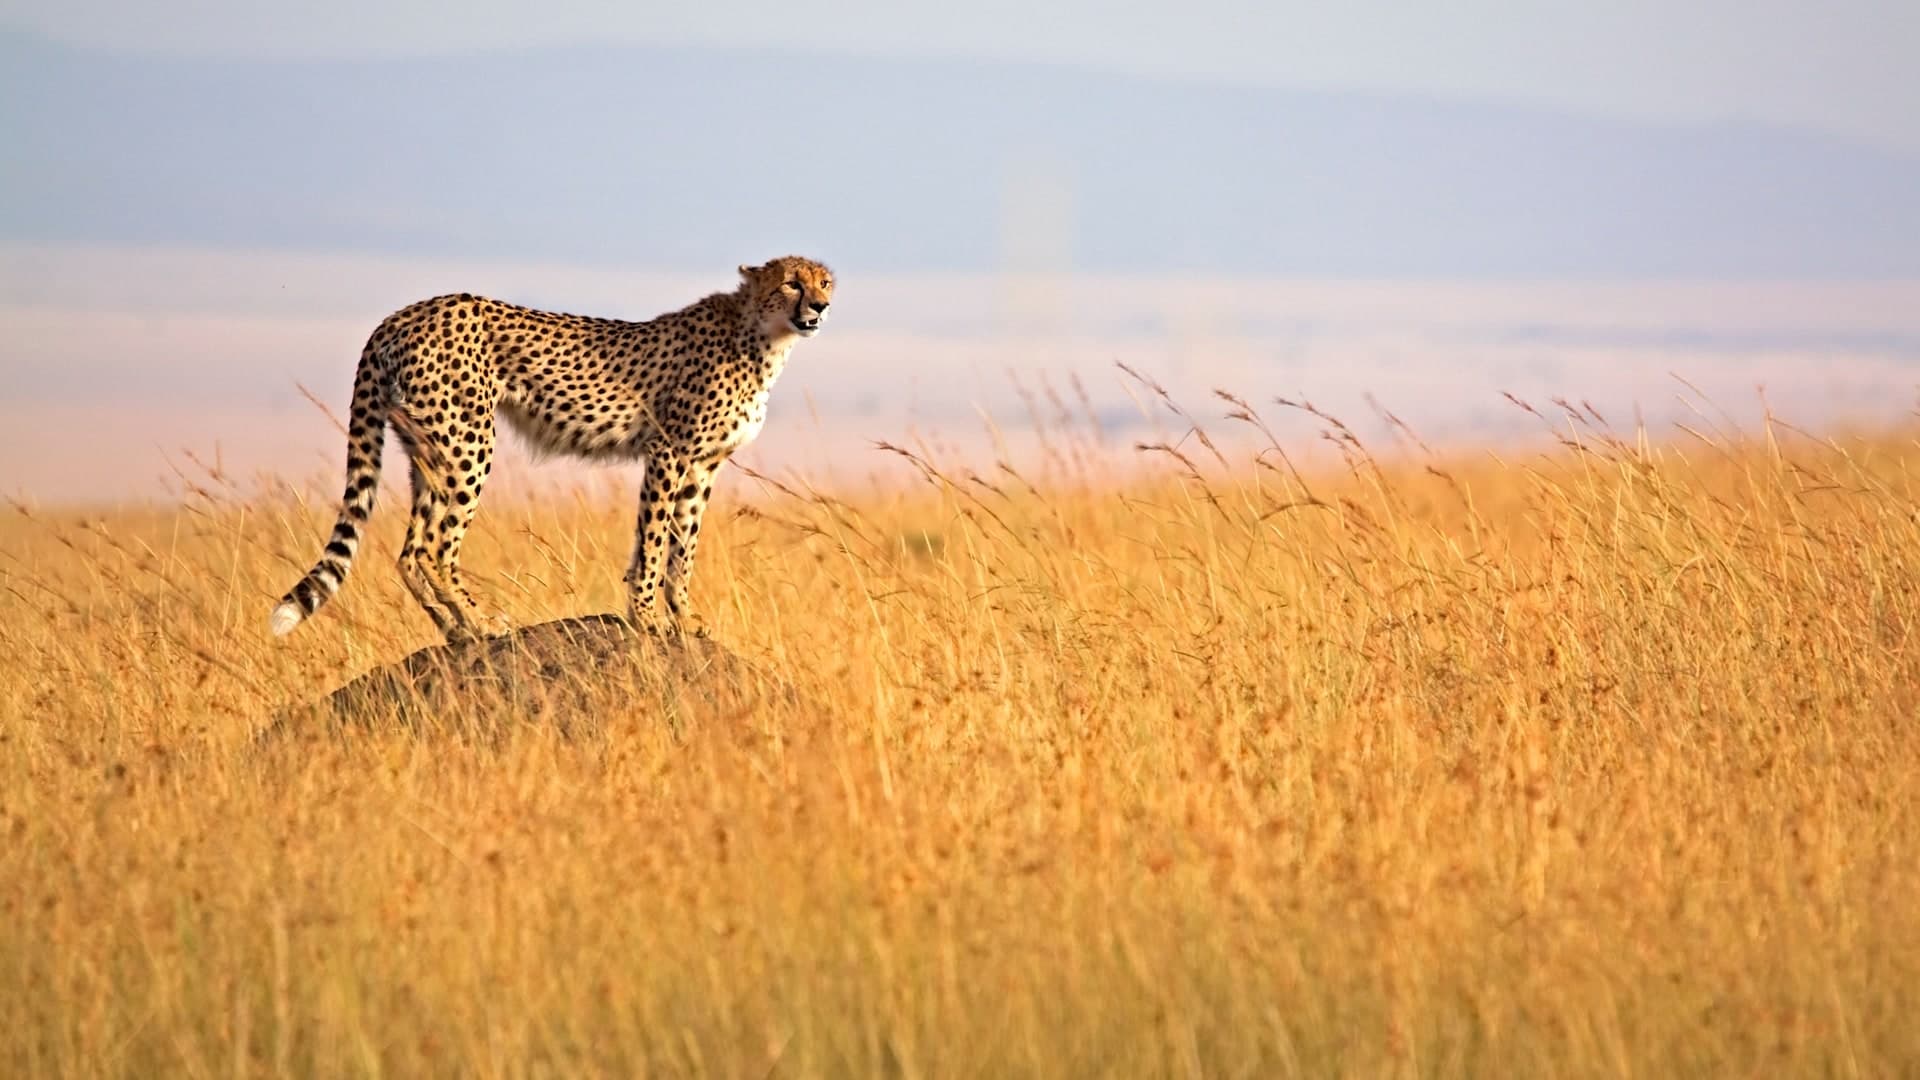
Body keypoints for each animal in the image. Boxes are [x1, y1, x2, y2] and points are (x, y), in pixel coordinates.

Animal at [269, 255, 835, 643]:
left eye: (824, 281)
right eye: (791, 281)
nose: (821, 307)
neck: (762, 336)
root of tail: (405, 313)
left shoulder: (702, 465)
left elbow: (681, 546)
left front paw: (684, 617)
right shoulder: (669, 451)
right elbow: (655, 541)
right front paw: (647, 617)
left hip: (428, 448)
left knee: (410, 552)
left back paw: (454, 632)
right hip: (469, 442)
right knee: (436, 547)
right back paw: (482, 622)